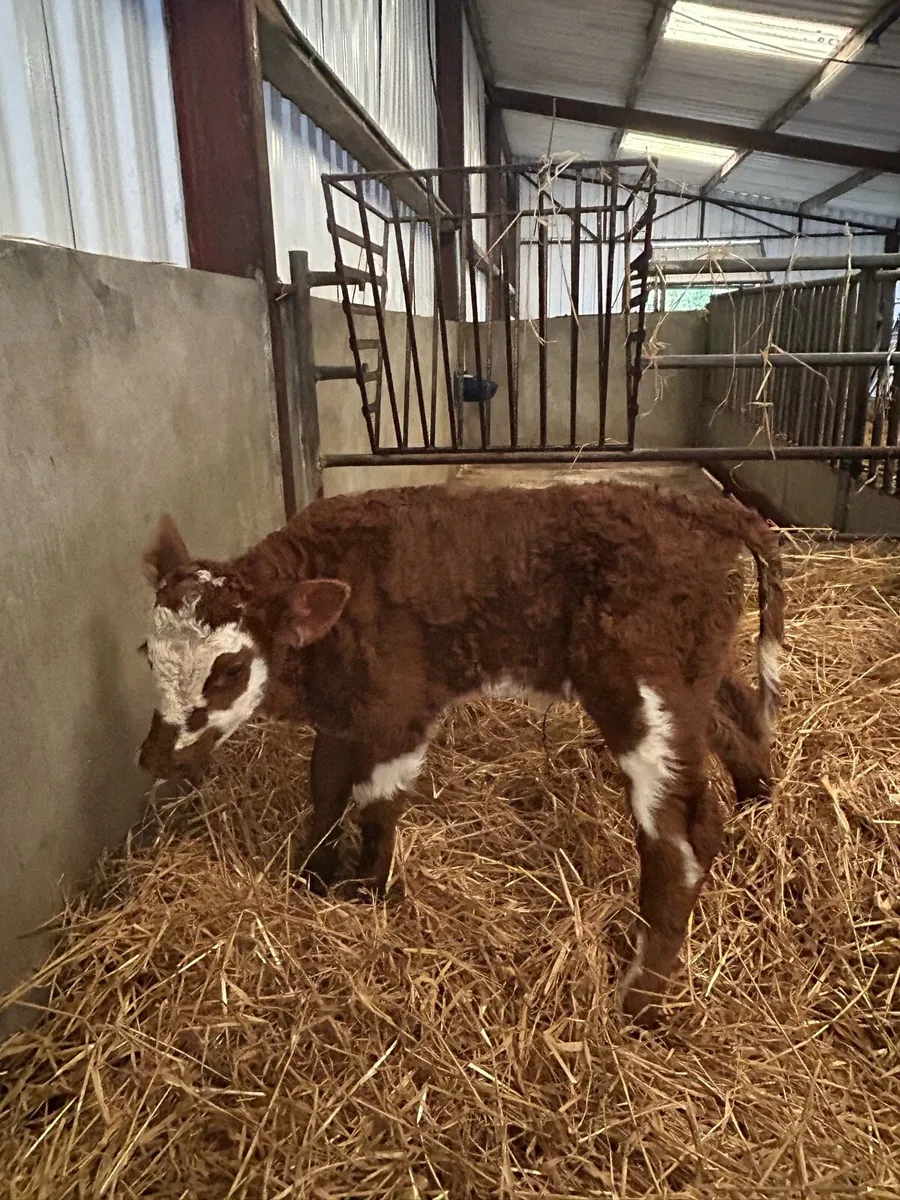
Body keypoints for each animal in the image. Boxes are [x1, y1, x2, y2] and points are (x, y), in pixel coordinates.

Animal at [138, 481, 784, 1022]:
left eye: (230, 669)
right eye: (147, 652)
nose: (154, 758)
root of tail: (700, 509)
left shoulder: (399, 711)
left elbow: (376, 806)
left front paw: (365, 895)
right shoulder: (345, 714)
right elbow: (323, 789)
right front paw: (310, 878)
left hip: (643, 691)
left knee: (682, 835)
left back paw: (639, 995)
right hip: (694, 677)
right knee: (736, 719)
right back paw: (759, 801)